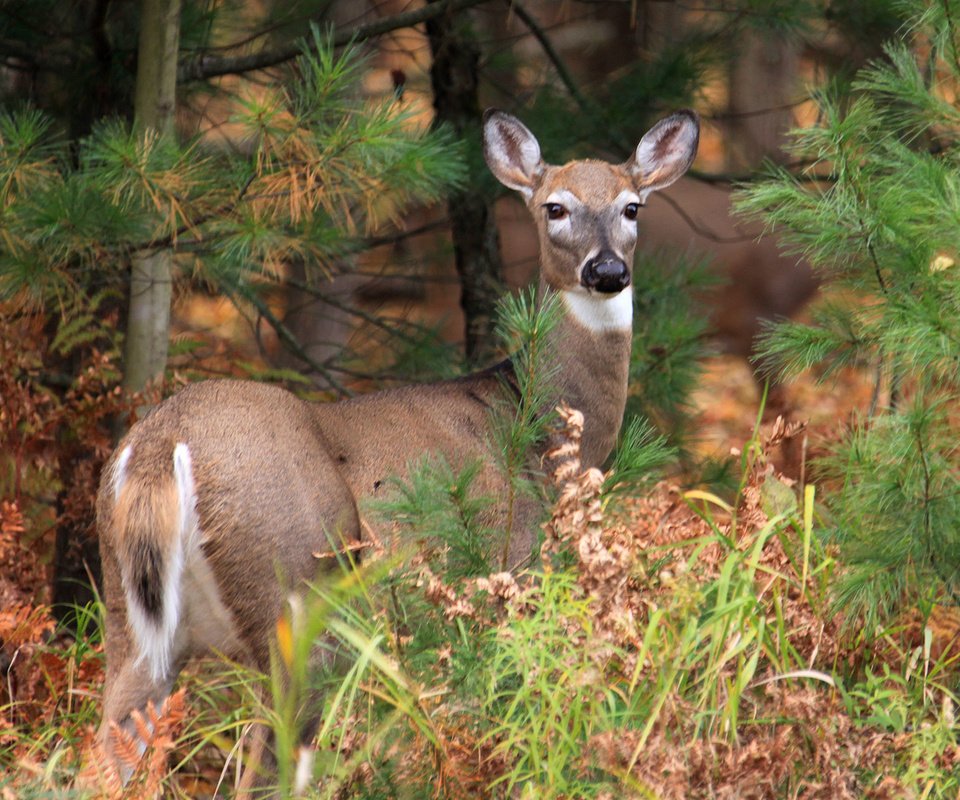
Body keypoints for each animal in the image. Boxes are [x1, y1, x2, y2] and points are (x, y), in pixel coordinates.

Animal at [95, 106, 696, 788]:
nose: (607, 271)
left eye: (631, 208)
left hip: (131, 622)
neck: (537, 424)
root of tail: (159, 447)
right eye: (555, 208)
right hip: (293, 591)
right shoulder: (508, 567)